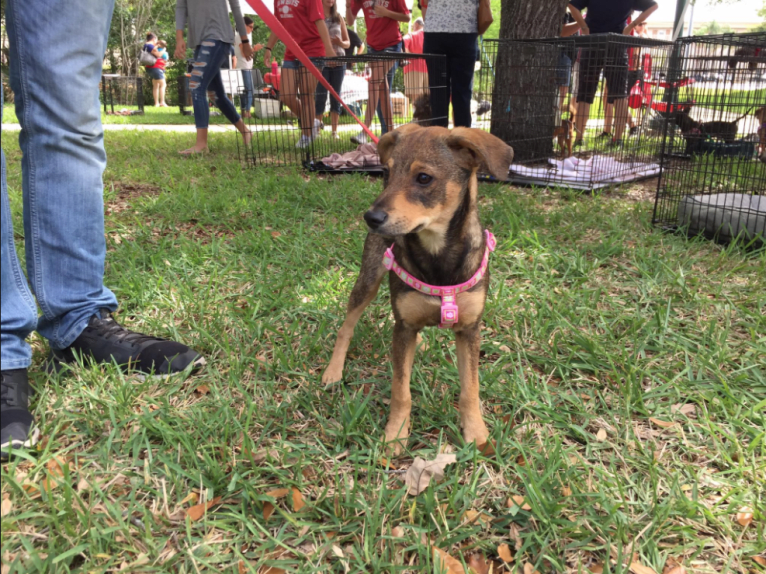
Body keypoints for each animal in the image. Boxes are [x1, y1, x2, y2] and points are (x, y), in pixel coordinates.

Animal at [320, 125, 512, 454]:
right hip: (369, 278)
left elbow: (470, 389)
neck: (437, 256)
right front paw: (395, 434)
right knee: (347, 326)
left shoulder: (469, 329)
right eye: (385, 172)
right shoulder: (404, 327)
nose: (371, 218)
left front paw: (476, 433)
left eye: (423, 178)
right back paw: (334, 370)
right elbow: (401, 390)